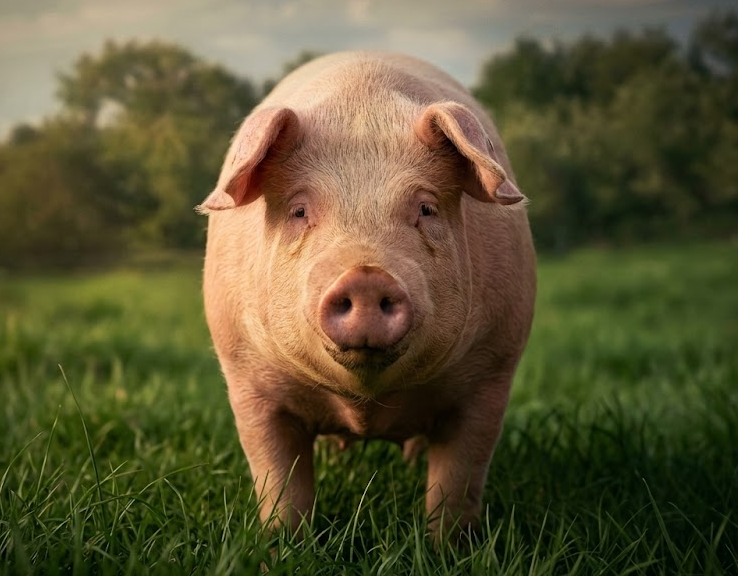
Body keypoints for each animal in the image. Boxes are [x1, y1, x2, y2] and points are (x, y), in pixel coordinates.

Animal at [198, 51, 536, 540]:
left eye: (426, 208)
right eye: (299, 210)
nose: (366, 275)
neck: (367, 401)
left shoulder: (493, 370)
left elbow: (457, 481)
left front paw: (448, 546)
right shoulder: (246, 374)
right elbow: (280, 483)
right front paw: (283, 546)